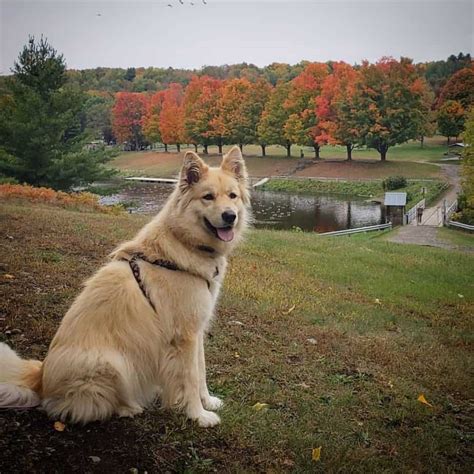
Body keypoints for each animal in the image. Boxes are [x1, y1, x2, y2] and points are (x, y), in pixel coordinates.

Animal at [0, 146, 252, 428]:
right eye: (208, 197)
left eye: (232, 196)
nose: (230, 216)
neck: (184, 243)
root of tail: (40, 377)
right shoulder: (184, 335)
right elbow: (190, 377)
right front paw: (198, 415)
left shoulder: (196, 329)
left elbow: (201, 371)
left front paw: (207, 401)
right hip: (115, 363)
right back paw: (128, 408)